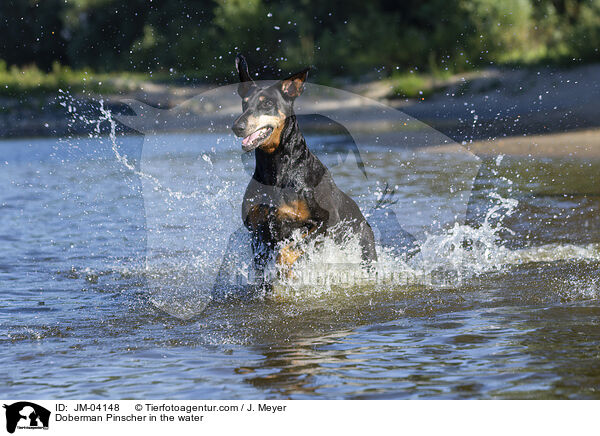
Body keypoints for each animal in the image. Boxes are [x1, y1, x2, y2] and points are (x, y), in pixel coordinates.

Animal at [232, 54, 378, 282]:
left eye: (268, 103)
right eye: (244, 103)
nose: (237, 126)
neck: (277, 170)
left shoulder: (325, 223)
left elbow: (293, 247)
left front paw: (286, 268)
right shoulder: (257, 231)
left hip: (364, 246)